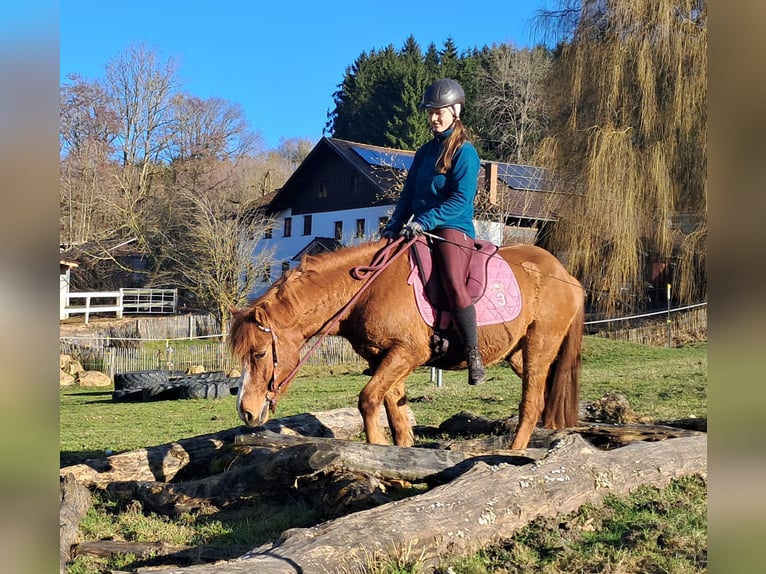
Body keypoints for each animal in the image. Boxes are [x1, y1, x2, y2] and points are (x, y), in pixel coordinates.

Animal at [229, 237, 585, 450]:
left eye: (259, 354)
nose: (246, 411)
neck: (369, 287)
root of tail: (566, 276)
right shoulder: (384, 359)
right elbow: (397, 419)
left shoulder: (406, 353)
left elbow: (368, 401)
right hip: (520, 356)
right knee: (546, 397)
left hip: (539, 347)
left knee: (531, 405)